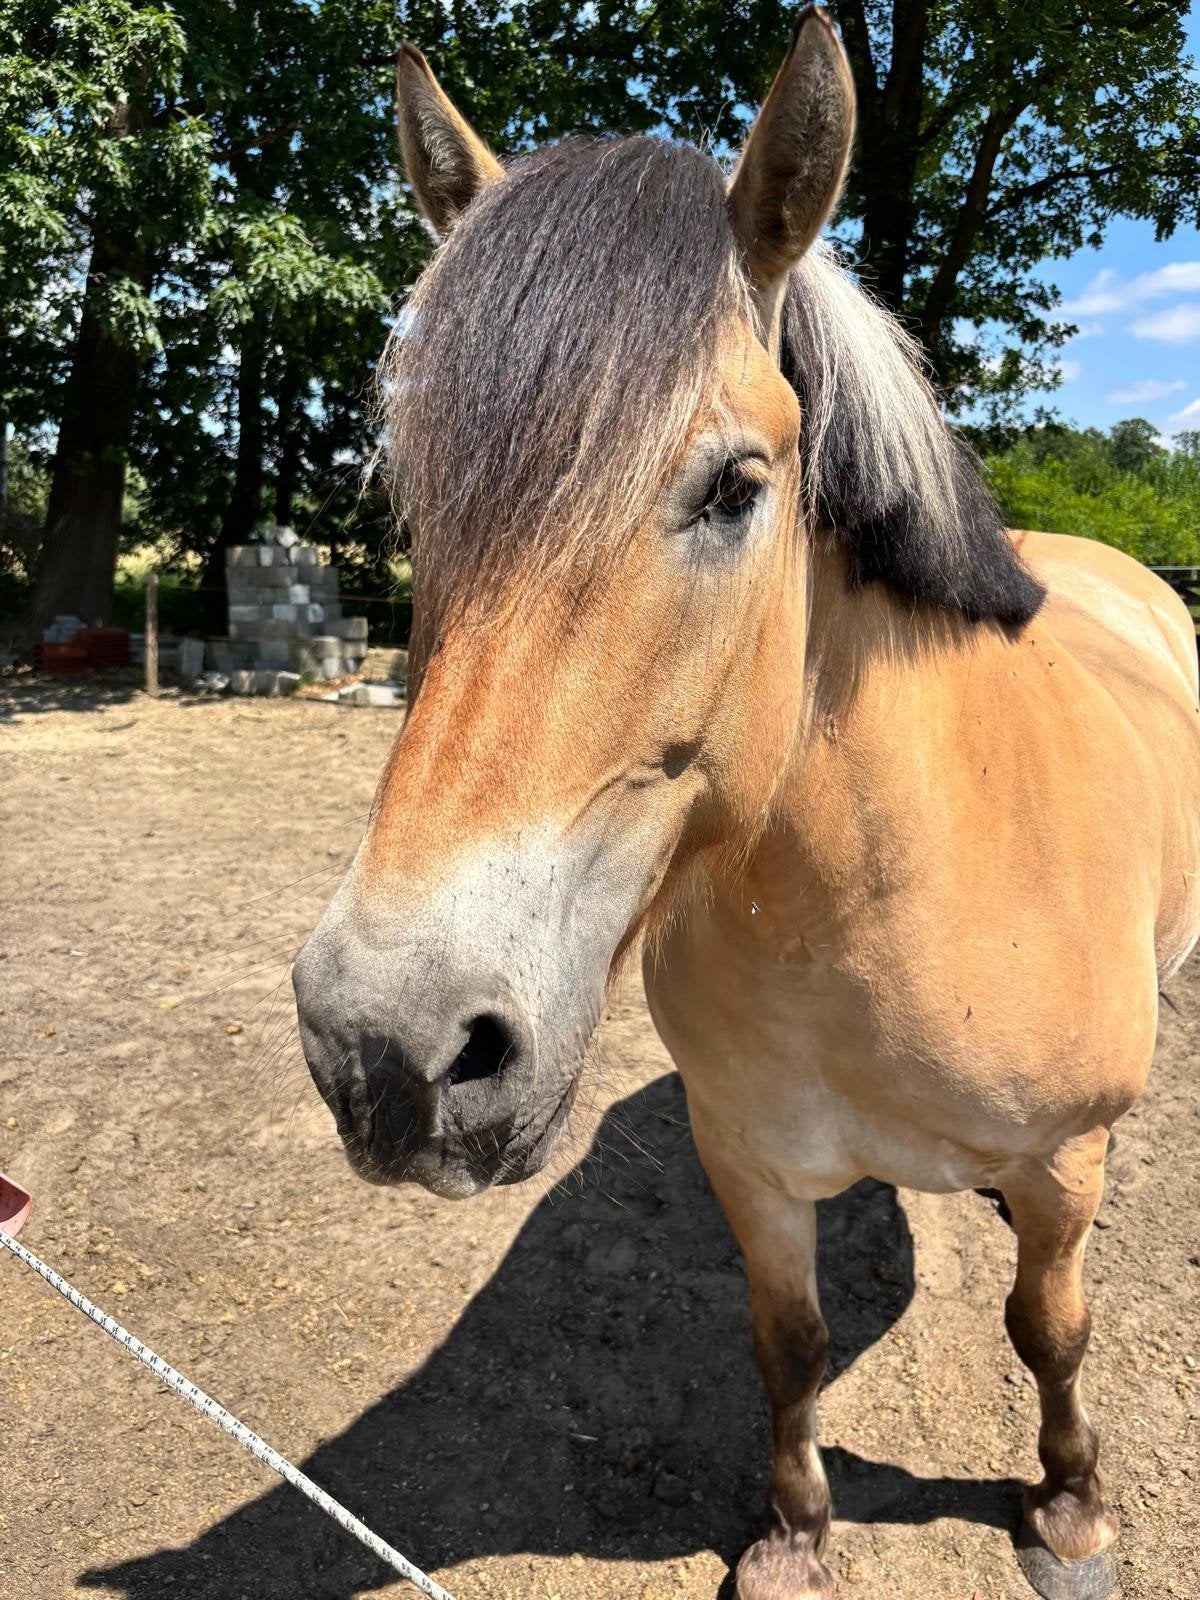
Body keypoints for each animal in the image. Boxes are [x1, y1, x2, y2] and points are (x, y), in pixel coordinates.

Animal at [293, 12, 1200, 1598]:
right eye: (416, 491)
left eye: (735, 486)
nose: (385, 1049)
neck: (904, 910)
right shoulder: (753, 1166)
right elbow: (790, 1345)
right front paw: (793, 1535)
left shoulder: (1066, 1163)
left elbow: (1051, 1328)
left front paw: (1071, 1506)